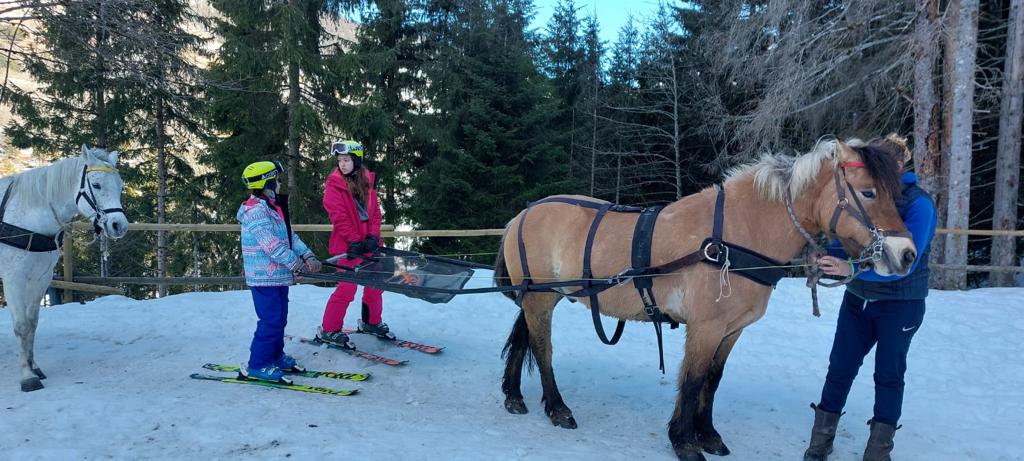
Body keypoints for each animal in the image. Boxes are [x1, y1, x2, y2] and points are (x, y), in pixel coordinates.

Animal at [1, 145, 129, 391]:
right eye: (96, 185)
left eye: (120, 186)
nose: (119, 225)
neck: (28, 218)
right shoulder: (13, 278)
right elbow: (21, 325)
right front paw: (27, 376)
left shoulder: (40, 278)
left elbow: (32, 323)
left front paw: (34, 367)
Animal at [491, 137, 917, 461]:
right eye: (868, 192)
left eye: (898, 194)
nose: (906, 254)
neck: (732, 237)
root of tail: (522, 215)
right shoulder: (705, 327)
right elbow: (693, 379)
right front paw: (684, 442)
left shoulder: (731, 330)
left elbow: (712, 380)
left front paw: (708, 435)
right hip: (541, 299)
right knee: (543, 349)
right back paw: (558, 408)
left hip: (540, 297)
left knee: (524, 339)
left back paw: (513, 395)